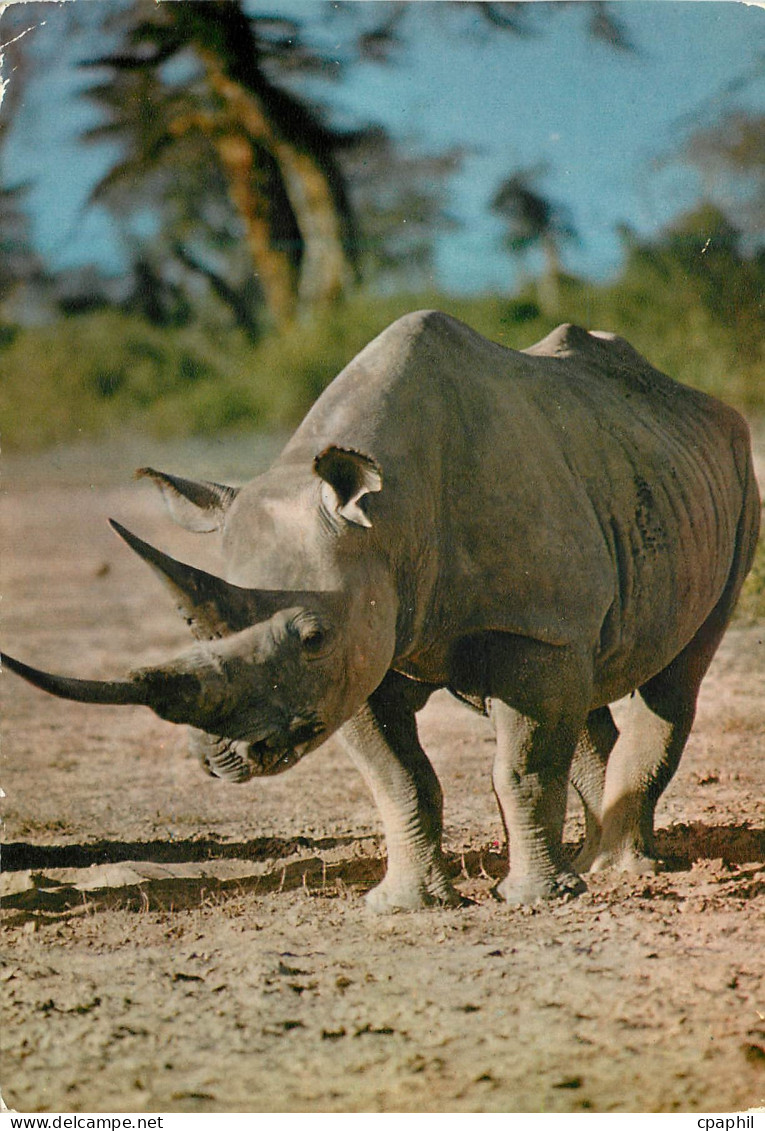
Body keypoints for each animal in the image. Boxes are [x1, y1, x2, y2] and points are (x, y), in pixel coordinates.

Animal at [3, 312, 760, 910]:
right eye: (191, 625)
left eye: (310, 637)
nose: (224, 757)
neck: (389, 518)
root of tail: (696, 400)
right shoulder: (363, 654)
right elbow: (399, 778)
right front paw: (406, 907)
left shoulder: (518, 627)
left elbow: (521, 768)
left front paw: (533, 902)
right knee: (581, 688)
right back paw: (593, 862)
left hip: (734, 472)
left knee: (672, 681)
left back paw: (616, 870)